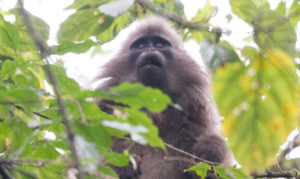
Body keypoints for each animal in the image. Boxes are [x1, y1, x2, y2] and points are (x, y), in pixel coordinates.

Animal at [96, 16, 230, 178]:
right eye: (141, 45)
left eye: (159, 44)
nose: (150, 49)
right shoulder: (106, 105)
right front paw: (124, 164)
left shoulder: (196, 107)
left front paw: (209, 151)